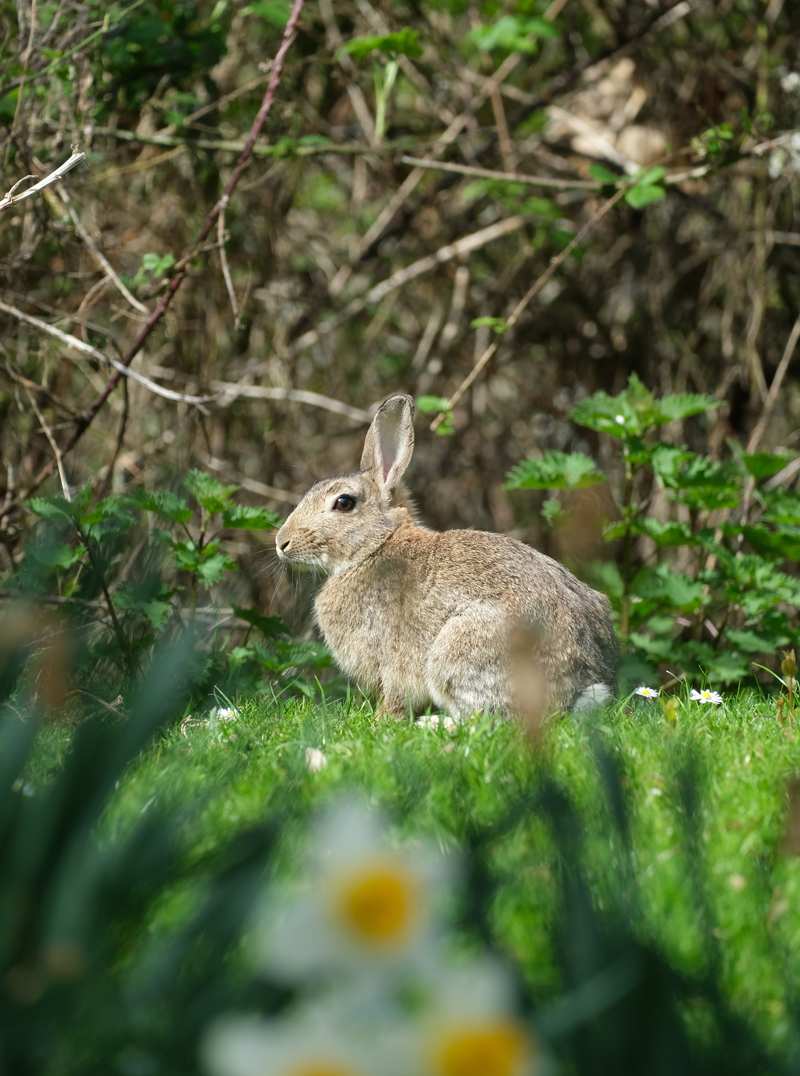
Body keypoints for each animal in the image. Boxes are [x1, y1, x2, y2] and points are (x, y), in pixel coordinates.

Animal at [275, 394, 618, 719]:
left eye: (344, 503)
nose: (281, 542)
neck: (374, 547)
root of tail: (581, 687)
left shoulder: (394, 661)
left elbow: (395, 698)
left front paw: (382, 720)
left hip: (457, 651)